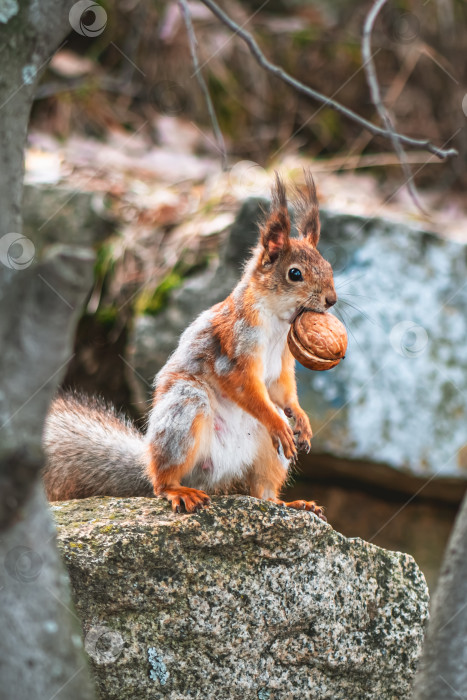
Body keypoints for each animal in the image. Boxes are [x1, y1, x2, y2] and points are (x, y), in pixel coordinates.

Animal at [43, 172, 336, 516]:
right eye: (294, 274)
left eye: (329, 266)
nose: (331, 300)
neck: (277, 323)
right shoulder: (234, 347)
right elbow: (245, 387)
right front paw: (279, 422)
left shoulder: (282, 365)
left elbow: (283, 392)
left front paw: (300, 420)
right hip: (185, 410)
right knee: (163, 480)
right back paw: (178, 490)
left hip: (268, 457)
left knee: (262, 491)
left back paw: (291, 502)